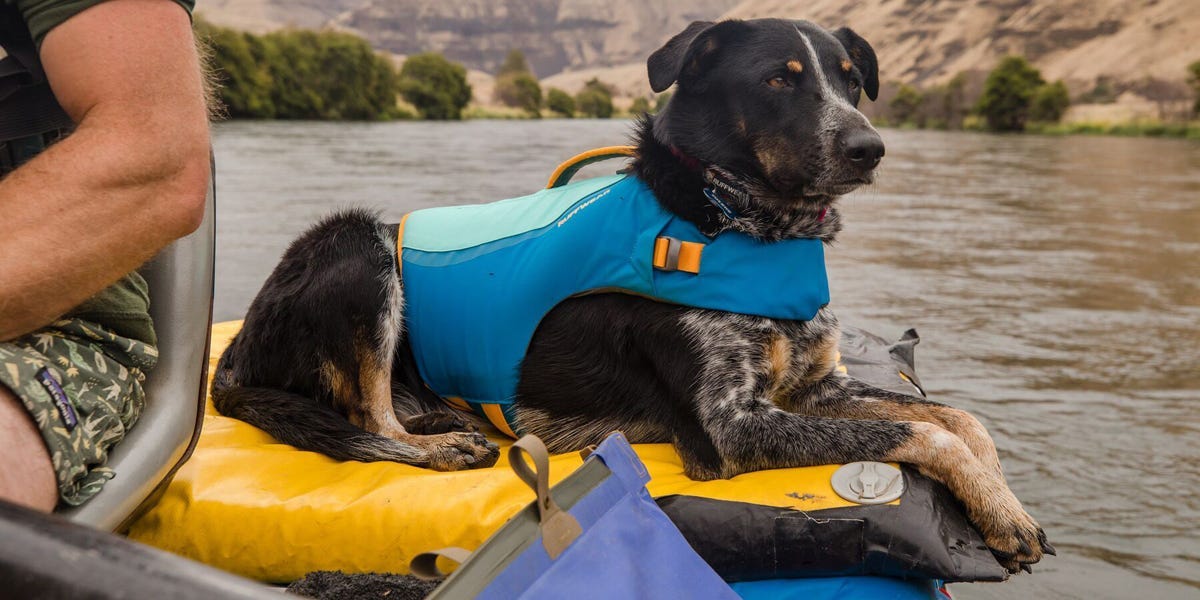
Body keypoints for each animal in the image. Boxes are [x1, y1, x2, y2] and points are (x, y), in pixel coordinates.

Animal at [213, 17, 1051, 571]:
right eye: (779, 78)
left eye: (851, 79)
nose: (869, 148)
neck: (730, 218)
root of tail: (237, 353)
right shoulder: (730, 427)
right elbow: (922, 433)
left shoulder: (813, 389)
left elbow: (959, 420)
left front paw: (1001, 506)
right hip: (357, 249)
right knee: (365, 415)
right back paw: (440, 443)